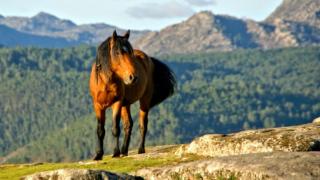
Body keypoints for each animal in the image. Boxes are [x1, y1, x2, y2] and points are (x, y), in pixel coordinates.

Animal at [89, 29, 176, 160]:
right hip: (126, 104)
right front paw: (98, 155)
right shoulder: (98, 105)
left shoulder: (117, 103)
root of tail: (148, 59)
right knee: (128, 124)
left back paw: (140, 149)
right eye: (118, 52)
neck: (106, 81)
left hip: (144, 101)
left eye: (130, 53)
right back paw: (124, 150)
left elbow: (115, 129)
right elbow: (100, 130)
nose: (133, 77)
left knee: (142, 125)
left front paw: (115, 152)